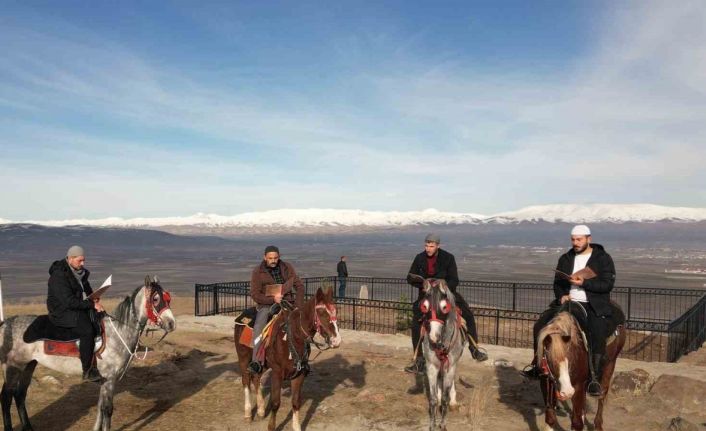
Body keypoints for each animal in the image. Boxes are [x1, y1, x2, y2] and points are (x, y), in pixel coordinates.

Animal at [0, 276, 175, 431]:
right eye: (155, 299)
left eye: (168, 298)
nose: (171, 323)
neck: (118, 332)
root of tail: (6, 324)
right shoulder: (109, 380)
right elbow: (108, 410)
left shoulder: (105, 380)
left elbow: (100, 407)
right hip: (13, 367)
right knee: (6, 397)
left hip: (29, 366)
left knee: (20, 395)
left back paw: (28, 427)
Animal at [235, 286, 342, 431]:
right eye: (321, 312)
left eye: (335, 310)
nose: (336, 340)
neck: (292, 337)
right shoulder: (277, 373)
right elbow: (275, 403)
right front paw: (271, 426)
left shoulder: (299, 374)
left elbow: (296, 402)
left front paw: (296, 426)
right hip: (243, 359)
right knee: (246, 380)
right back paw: (248, 413)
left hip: (262, 363)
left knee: (256, 379)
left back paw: (261, 410)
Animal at [410, 276, 464, 431]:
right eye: (424, 306)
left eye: (444, 307)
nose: (433, 337)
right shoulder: (432, 367)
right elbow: (433, 399)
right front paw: (432, 425)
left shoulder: (450, 366)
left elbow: (445, 397)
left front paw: (443, 424)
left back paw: (453, 400)